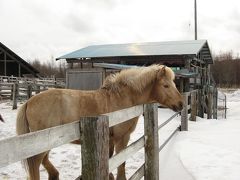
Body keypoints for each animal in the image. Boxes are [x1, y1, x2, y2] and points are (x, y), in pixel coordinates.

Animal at [15, 64, 183, 179]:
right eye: (166, 85)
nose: (181, 104)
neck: (122, 100)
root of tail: (29, 101)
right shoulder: (122, 138)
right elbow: (121, 163)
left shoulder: (109, 140)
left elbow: (111, 160)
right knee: (36, 164)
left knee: (44, 161)